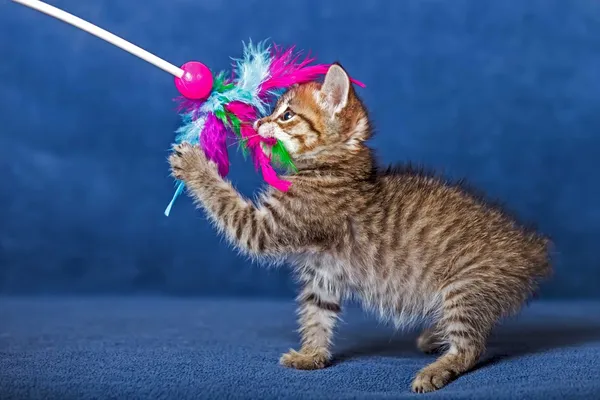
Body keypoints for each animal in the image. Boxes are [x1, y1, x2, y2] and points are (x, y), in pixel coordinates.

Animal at [169, 64, 552, 392]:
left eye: (287, 115)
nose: (259, 121)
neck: (334, 168)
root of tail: (530, 248)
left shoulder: (267, 227)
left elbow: (226, 204)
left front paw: (194, 163)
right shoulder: (322, 272)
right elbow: (317, 314)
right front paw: (312, 355)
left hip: (464, 287)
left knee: (471, 346)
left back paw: (439, 366)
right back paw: (435, 336)